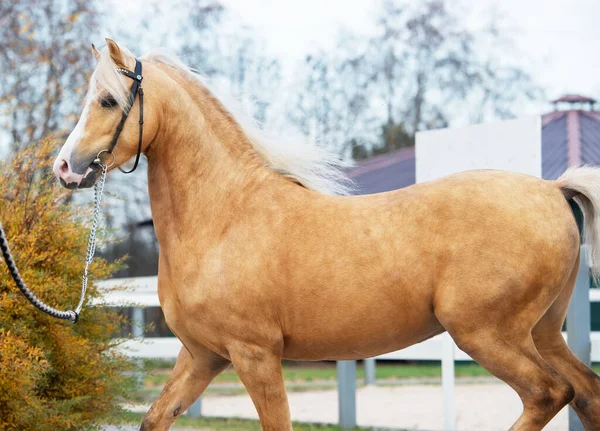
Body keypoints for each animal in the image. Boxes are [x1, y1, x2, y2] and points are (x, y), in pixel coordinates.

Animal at [52, 38, 600, 430]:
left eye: (108, 100)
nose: (64, 168)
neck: (224, 216)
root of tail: (553, 189)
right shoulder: (202, 357)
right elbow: (154, 417)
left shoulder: (255, 356)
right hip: (542, 334)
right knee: (586, 393)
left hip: (487, 333)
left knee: (549, 394)